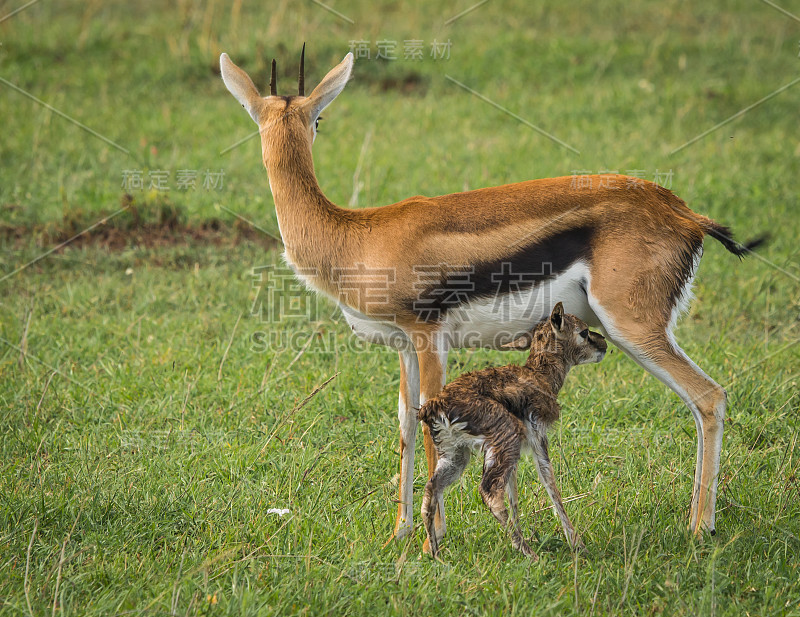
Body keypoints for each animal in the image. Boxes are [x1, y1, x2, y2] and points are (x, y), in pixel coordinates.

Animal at [418, 304, 608, 560]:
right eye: (584, 331)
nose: (604, 343)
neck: (542, 378)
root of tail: (434, 406)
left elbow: (514, 495)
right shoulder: (538, 438)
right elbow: (550, 484)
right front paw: (579, 545)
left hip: (456, 454)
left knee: (430, 491)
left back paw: (436, 554)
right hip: (506, 437)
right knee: (489, 492)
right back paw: (529, 553)